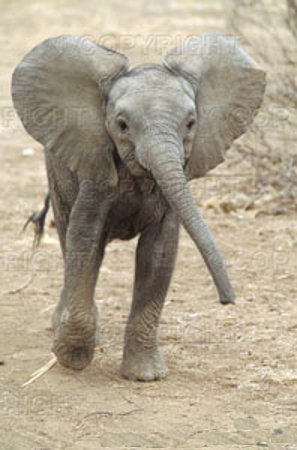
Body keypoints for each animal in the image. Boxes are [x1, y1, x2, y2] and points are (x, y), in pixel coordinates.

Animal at [12, 33, 264, 382]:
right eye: (121, 125)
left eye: (191, 123)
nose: (228, 300)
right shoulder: (96, 169)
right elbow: (85, 241)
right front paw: (71, 358)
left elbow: (158, 253)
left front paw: (146, 376)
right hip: (58, 169)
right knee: (67, 234)